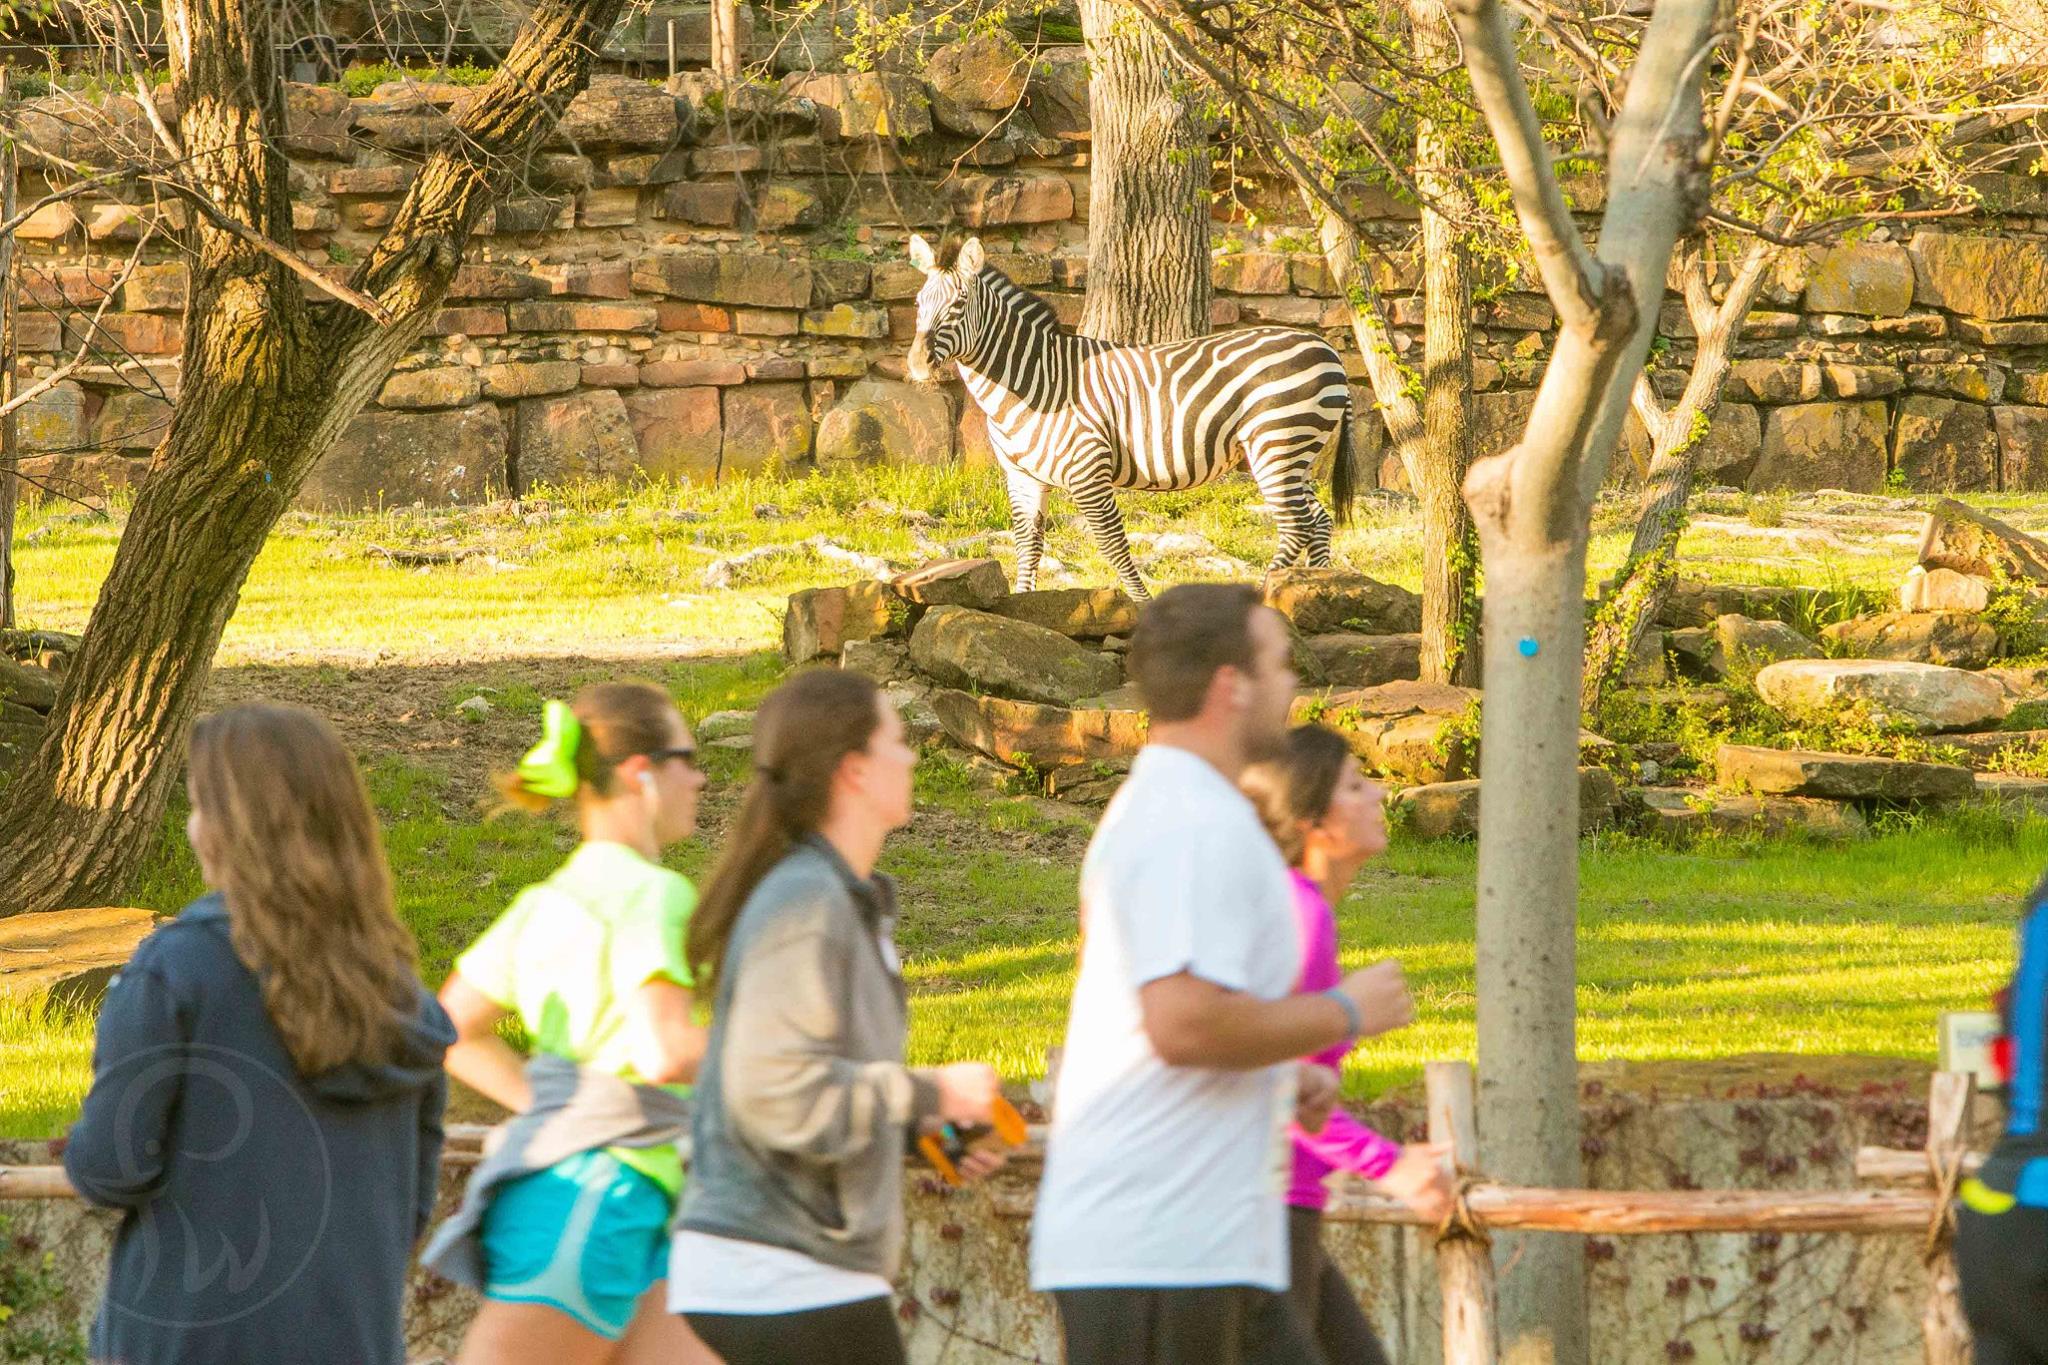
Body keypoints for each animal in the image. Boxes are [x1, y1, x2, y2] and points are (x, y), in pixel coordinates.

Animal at [905, 232, 1351, 601]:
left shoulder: (1088, 471)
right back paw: (1314, 591)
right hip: (1295, 453)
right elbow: (1027, 545)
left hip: (1277, 442)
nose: (917, 363)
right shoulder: (1023, 476)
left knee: (1296, 525)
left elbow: (1113, 546)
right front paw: (1022, 603)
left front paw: (1141, 604)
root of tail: (1325, 347)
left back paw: (1268, 595)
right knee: (1318, 521)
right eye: (918, 304)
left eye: (959, 304)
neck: (1035, 381)